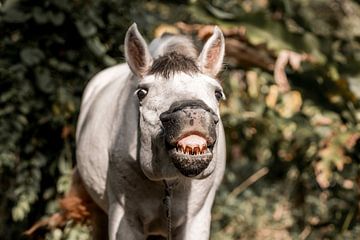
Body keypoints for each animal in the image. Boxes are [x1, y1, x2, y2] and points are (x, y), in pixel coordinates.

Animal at [76, 23, 226, 240]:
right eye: (142, 92)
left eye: (218, 93)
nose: (193, 113)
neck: (168, 182)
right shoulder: (125, 218)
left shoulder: (196, 218)